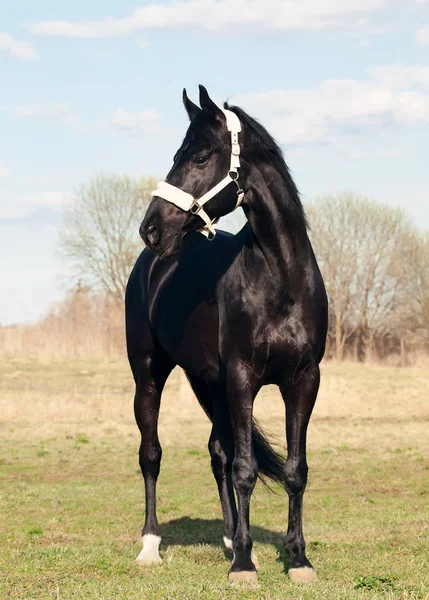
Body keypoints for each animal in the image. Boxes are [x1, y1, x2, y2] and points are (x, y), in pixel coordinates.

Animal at [125, 86, 326, 584]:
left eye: (199, 157)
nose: (151, 228)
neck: (281, 281)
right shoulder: (242, 378)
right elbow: (246, 469)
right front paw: (244, 565)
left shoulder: (303, 381)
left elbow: (293, 470)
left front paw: (297, 559)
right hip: (149, 376)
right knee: (151, 454)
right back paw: (151, 546)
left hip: (210, 383)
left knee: (218, 451)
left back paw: (230, 536)